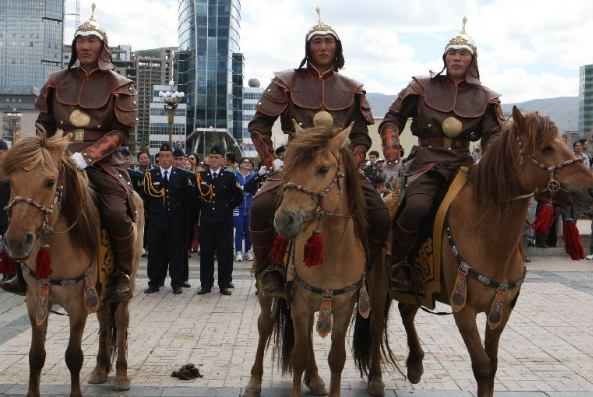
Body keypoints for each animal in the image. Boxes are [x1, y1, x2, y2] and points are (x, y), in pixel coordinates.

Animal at [0, 132, 143, 396]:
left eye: (50, 182)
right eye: (11, 181)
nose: (16, 241)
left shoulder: (78, 301)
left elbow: (73, 356)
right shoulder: (36, 299)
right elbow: (36, 356)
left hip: (125, 280)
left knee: (120, 318)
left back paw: (120, 374)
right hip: (100, 289)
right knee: (104, 319)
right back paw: (100, 368)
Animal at [243, 124, 368, 396]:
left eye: (323, 168)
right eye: (289, 165)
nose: (283, 220)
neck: (334, 255)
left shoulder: (344, 307)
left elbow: (337, 358)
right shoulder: (300, 304)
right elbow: (298, 355)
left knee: (309, 335)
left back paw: (315, 378)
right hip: (267, 289)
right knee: (265, 325)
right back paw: (254, 381)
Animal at [352, 106, 593, 396]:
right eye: (547, 148)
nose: (591, 189)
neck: (488, 234)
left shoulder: (500, 310)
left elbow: (492, 366)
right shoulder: (464, 309)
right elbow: (482, 366)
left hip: (420, 285)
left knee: (406, 311)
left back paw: (416, 364)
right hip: (378, 282)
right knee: (376, 325)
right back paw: (376, 379)